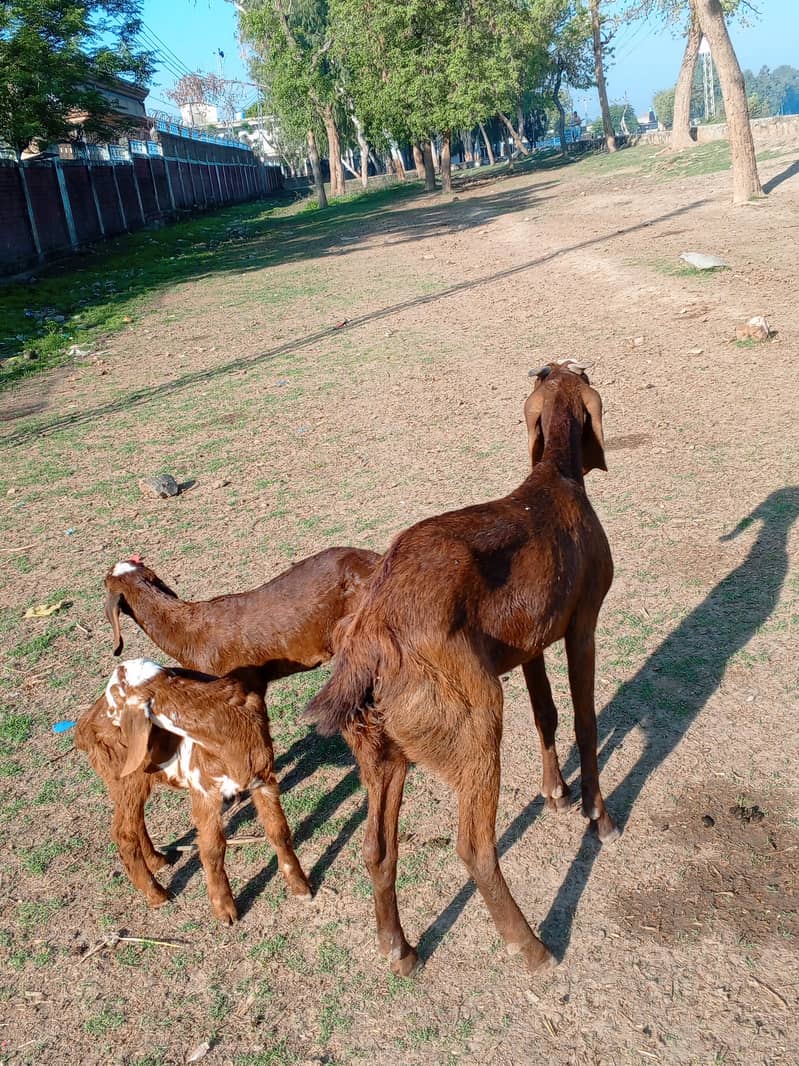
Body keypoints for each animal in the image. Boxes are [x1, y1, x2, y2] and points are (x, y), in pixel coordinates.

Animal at [75, 658, 311, 923]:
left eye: (115, 692)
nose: (108, 713)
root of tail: (84, 726)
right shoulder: (203, 789)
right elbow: (212, 848)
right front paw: (224, 909)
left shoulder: (263, 778)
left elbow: (279, 830)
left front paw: (301, 886)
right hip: (124, 778)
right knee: (123, 832)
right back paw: (156, 894)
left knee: (134, 822)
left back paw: (157, 861)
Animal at [305, 360, 615, 976]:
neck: (555, 479)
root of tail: (372, 631)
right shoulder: (581, 624)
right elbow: (586, 720)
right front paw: (599, 815)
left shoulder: (529, 644)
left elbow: (547, 714)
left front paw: (556, 793)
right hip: (476, 718)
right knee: (474, 846)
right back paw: (531, 946)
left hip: (383, 749)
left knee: (377, 848)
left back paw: (399, 949)